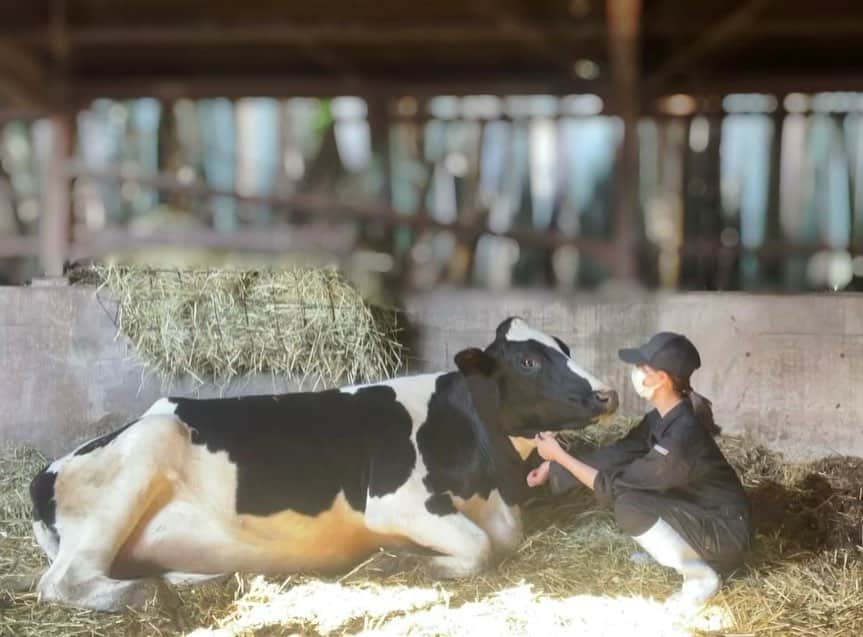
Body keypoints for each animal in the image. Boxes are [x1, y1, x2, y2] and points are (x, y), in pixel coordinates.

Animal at [28, 317, 618, 612]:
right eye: (529, 360)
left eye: (565, 347)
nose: (607, 393)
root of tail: (47, 471)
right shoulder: (394, 501)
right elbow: (480, 548)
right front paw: (396, 564)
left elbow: (501, 540)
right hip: (145, 449)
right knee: (63, 581)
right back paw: (148, 595)